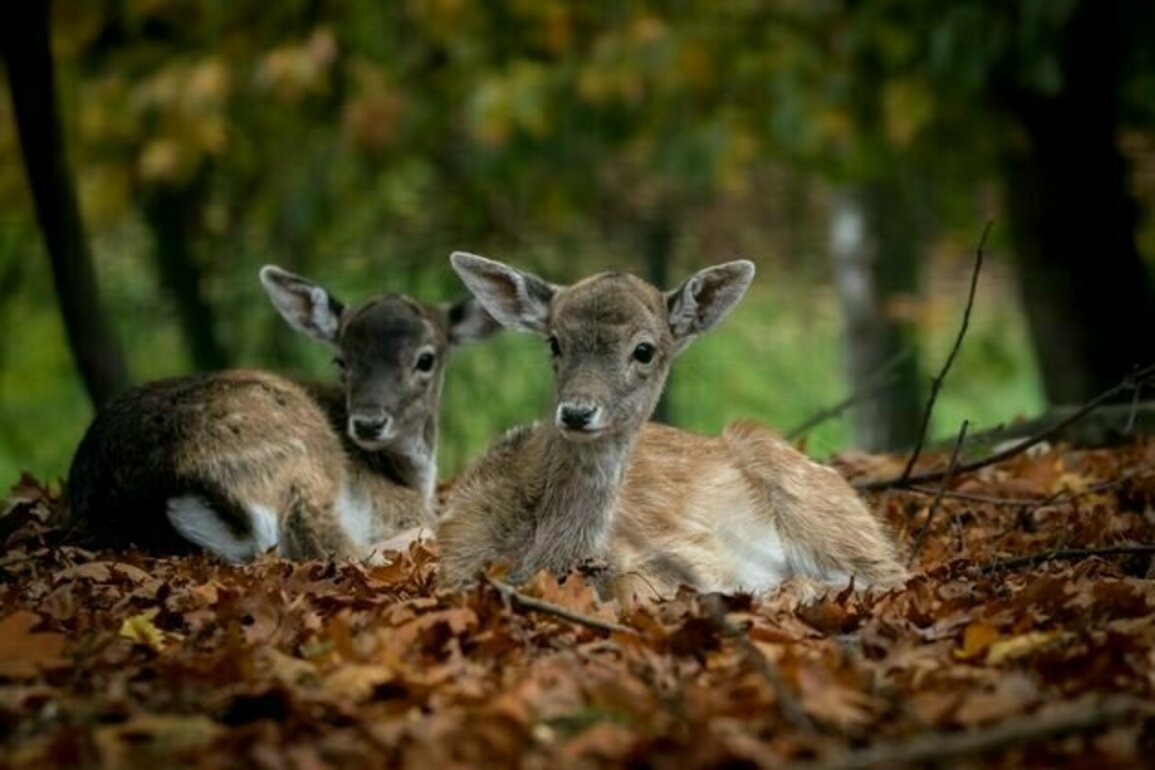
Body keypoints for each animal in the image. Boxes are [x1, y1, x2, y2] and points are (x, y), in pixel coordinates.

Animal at [66, 265, 499, 562]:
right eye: (341, 360)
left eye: (426, 359)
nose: (368, 422)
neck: (410, 475)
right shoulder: (393, 505)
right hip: (301, 457)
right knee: (338, 549)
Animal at [436, 253, 908, 605]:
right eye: (554, 342)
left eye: (644, 350)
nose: (576, 412)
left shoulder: (682, 561)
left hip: (818, 505)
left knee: (892, 574)